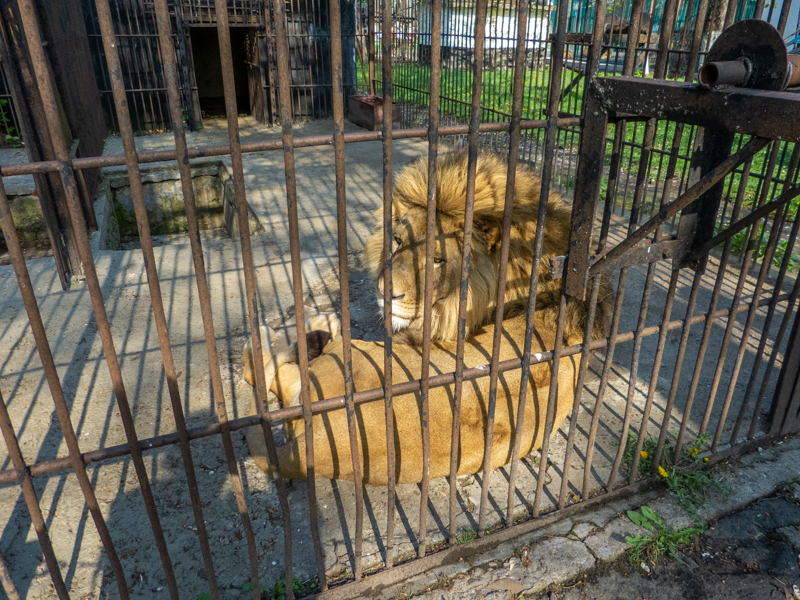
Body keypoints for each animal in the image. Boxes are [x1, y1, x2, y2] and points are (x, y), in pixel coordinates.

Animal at [241, 149, 612, 485]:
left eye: (436, 259)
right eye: (396, 241)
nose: (385, 291)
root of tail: (312, 450)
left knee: (258, 368)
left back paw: (292, 329)